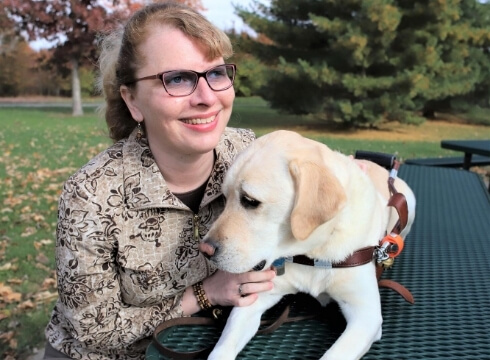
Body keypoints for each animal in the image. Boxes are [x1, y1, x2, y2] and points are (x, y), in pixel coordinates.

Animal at [201, 130, 416, 360]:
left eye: (250, 200)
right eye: (224, 197)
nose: (205, 250)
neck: (312, 254)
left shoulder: (366, 316)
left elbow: (333, 355)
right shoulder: (257, 297)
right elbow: (223, 347)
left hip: (408, 203)